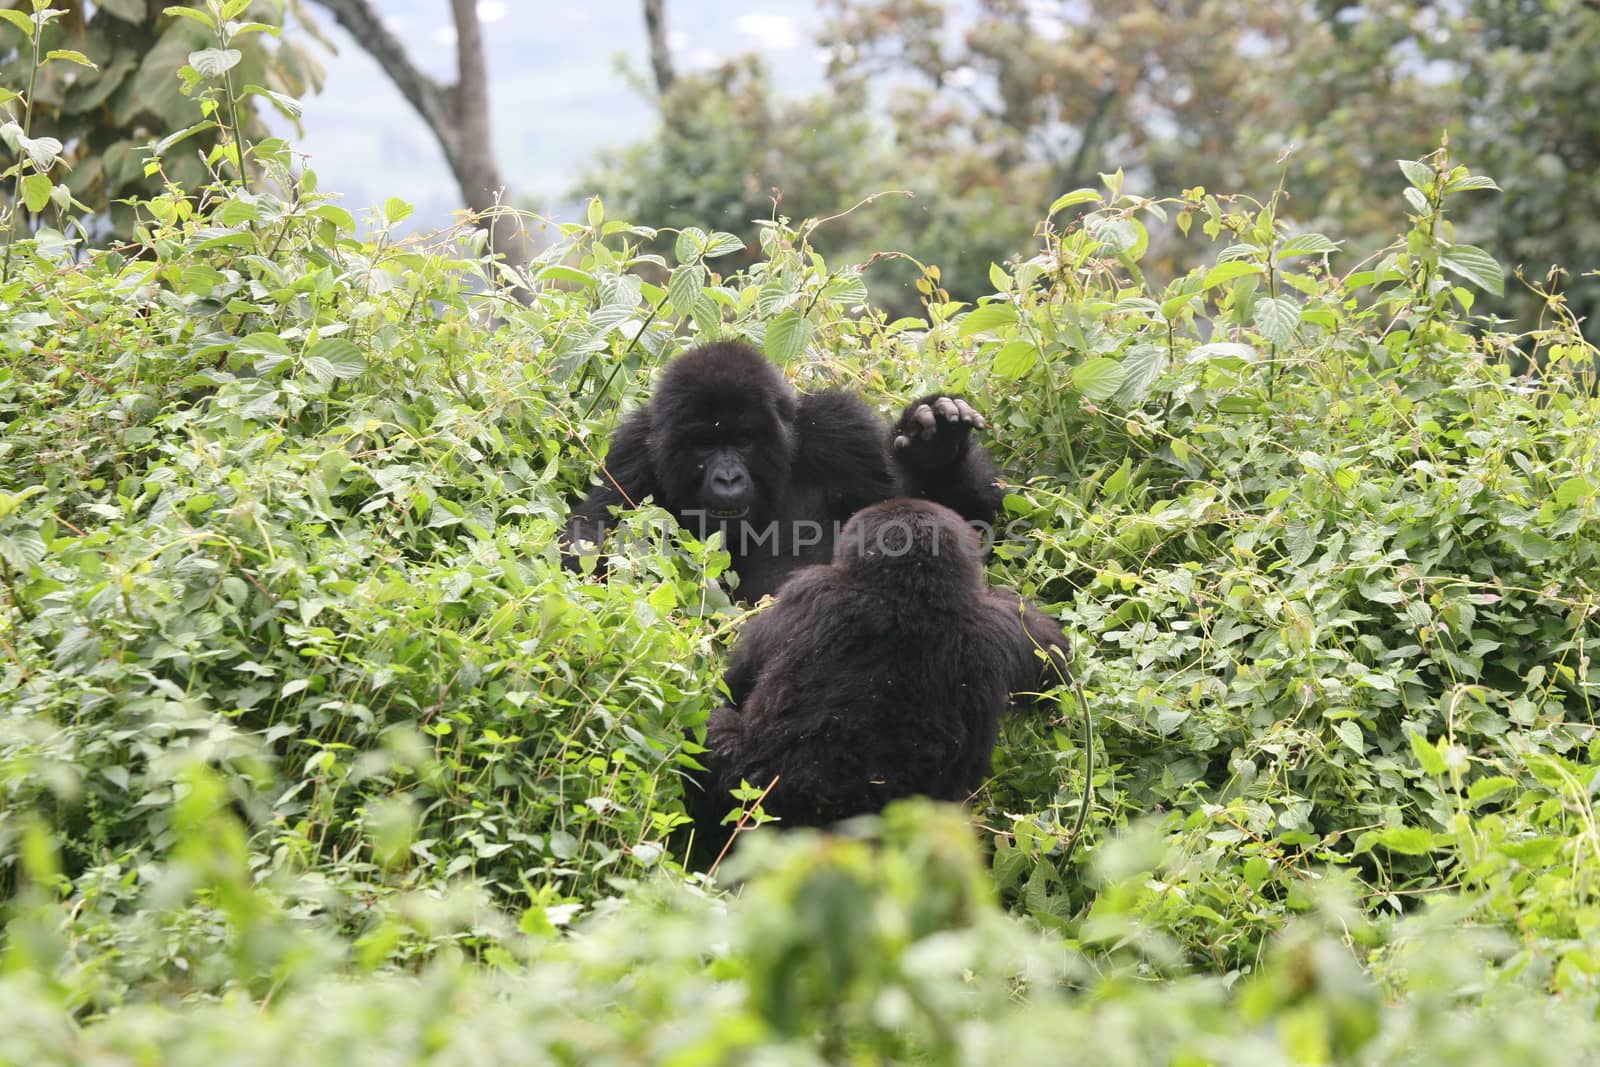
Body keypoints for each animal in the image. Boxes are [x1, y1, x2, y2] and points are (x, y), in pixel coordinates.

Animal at [566, 342, 998, 601]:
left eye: (743, 441)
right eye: (704, 444)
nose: (727, 479)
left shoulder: (844, 432)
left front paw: (935, 452)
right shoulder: (632, 456)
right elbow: (586, 546)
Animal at [681, 502, 1068, 870]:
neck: (909, 593)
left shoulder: (807, 590)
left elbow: (734, 685)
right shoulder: (1012, 623)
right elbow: (1060, 675)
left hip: (757, 802)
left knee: (711, 730)